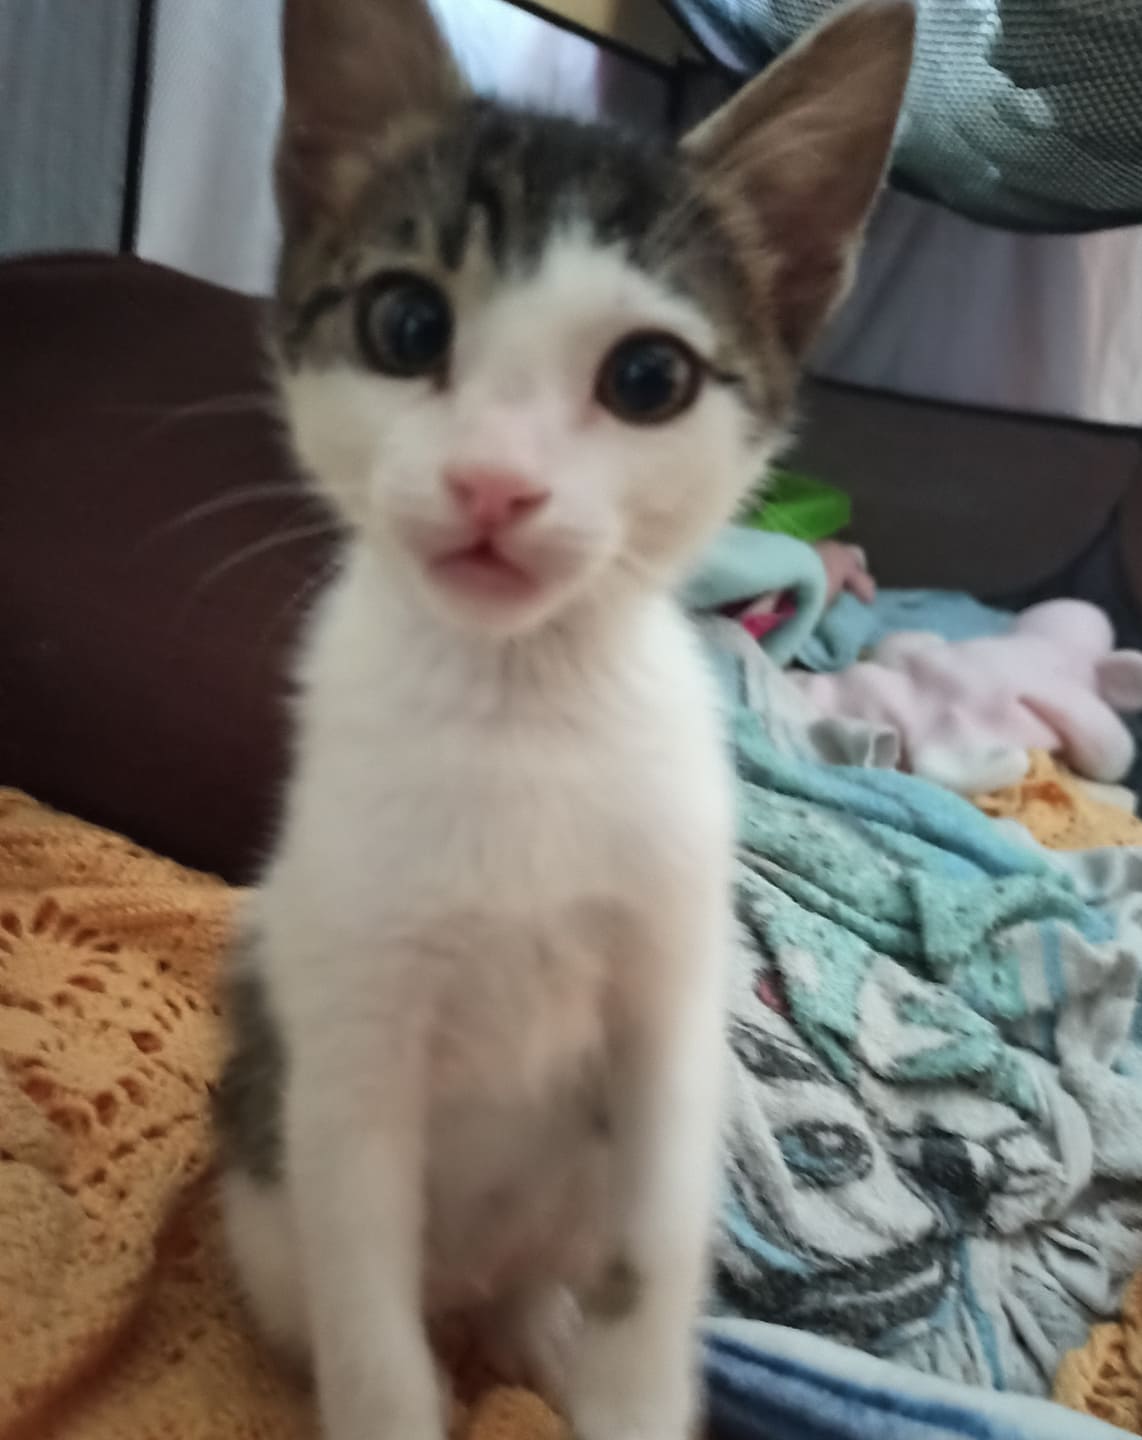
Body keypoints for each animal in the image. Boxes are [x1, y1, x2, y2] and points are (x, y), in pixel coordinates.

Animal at [213, 2, 912, 1438]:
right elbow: (372, 1327)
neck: (517, 703)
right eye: (406, 322)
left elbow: (655, 1263)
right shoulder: (347, 1045)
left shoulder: (670, 1016)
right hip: (266, 1196)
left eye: (647, 376)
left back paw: (540, 1337)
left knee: (541, 1278)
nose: (496, 484)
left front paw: (631, 1393)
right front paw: (389, 1399)